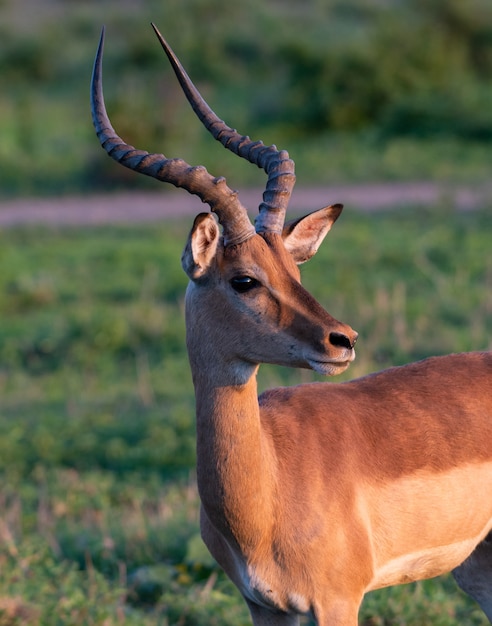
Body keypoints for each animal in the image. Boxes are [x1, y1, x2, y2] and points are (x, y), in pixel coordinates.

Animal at [91, 24, 492, 624]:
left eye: (294, 270)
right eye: (245, 279)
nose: (342, 341)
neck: (270, 482)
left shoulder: (338, 601)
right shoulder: (264, 606)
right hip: (478, 566)